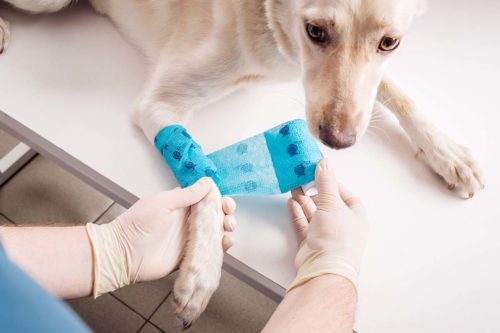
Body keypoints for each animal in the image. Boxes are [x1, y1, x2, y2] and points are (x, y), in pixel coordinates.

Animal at [0, 0, 484, 326]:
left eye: (389, 42)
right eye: (316, 31)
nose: (338, 142)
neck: (274, 26)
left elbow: (398, 93)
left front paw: (447, 151)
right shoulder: (162, 101)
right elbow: (206, 175)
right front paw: (201, 274)